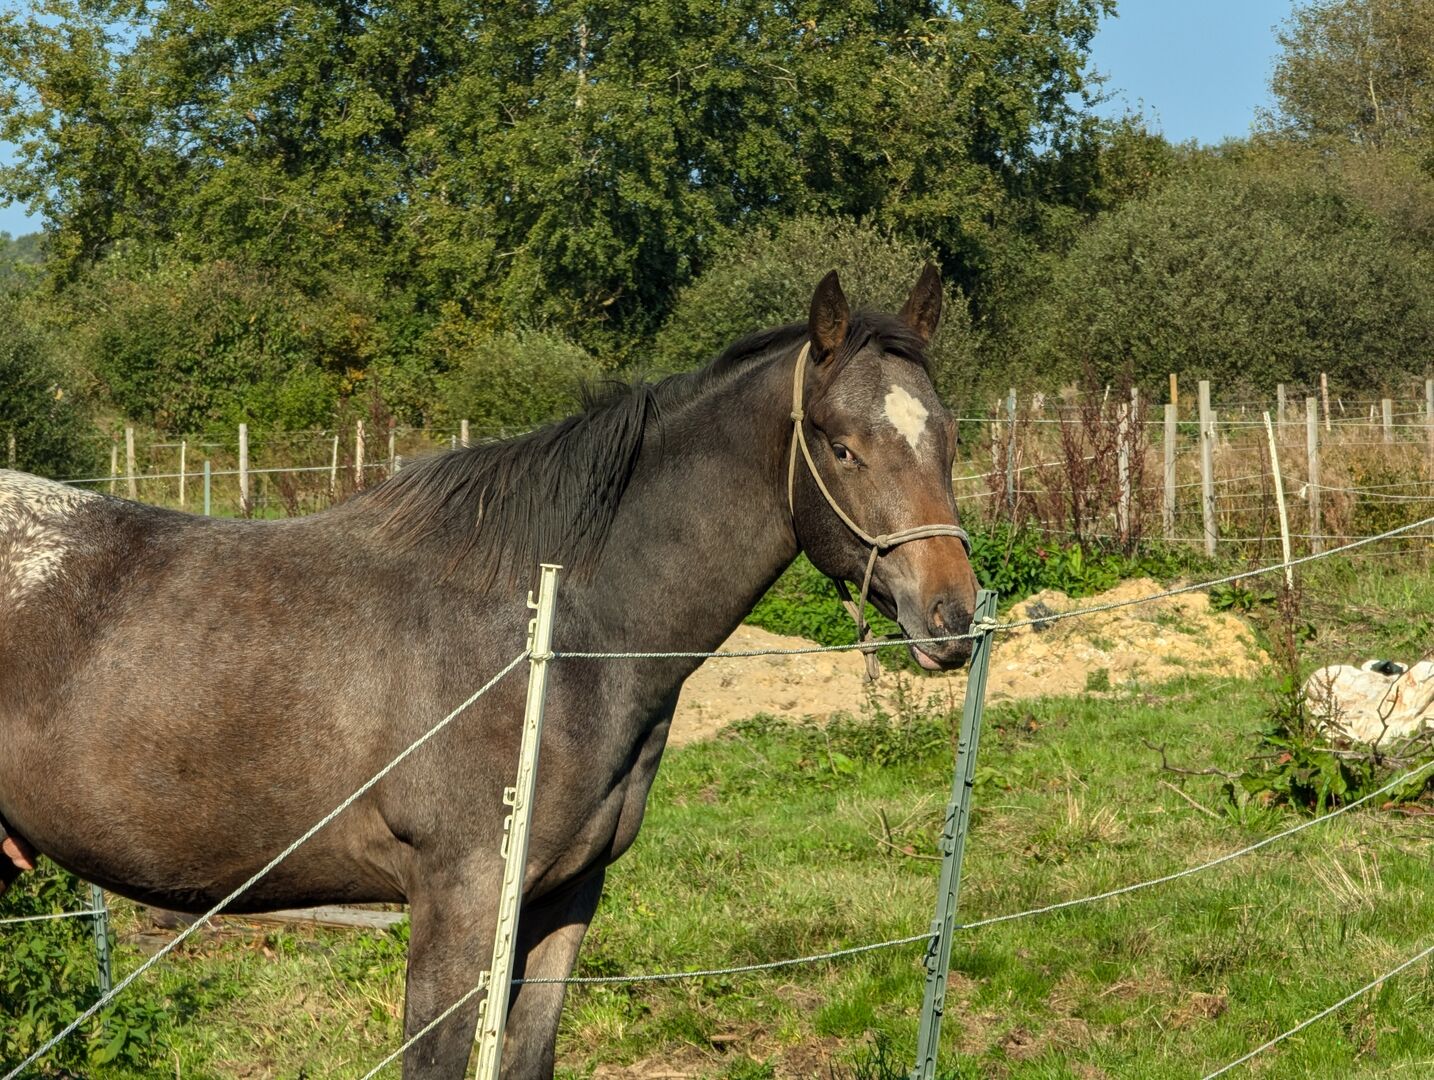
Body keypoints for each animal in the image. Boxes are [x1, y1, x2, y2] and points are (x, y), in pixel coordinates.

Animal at [0, 267, 979, 1078]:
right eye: (841, 446)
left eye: (950, 438)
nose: (952, 616)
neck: (554, 628)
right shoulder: (459, 902)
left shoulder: (562, 900)